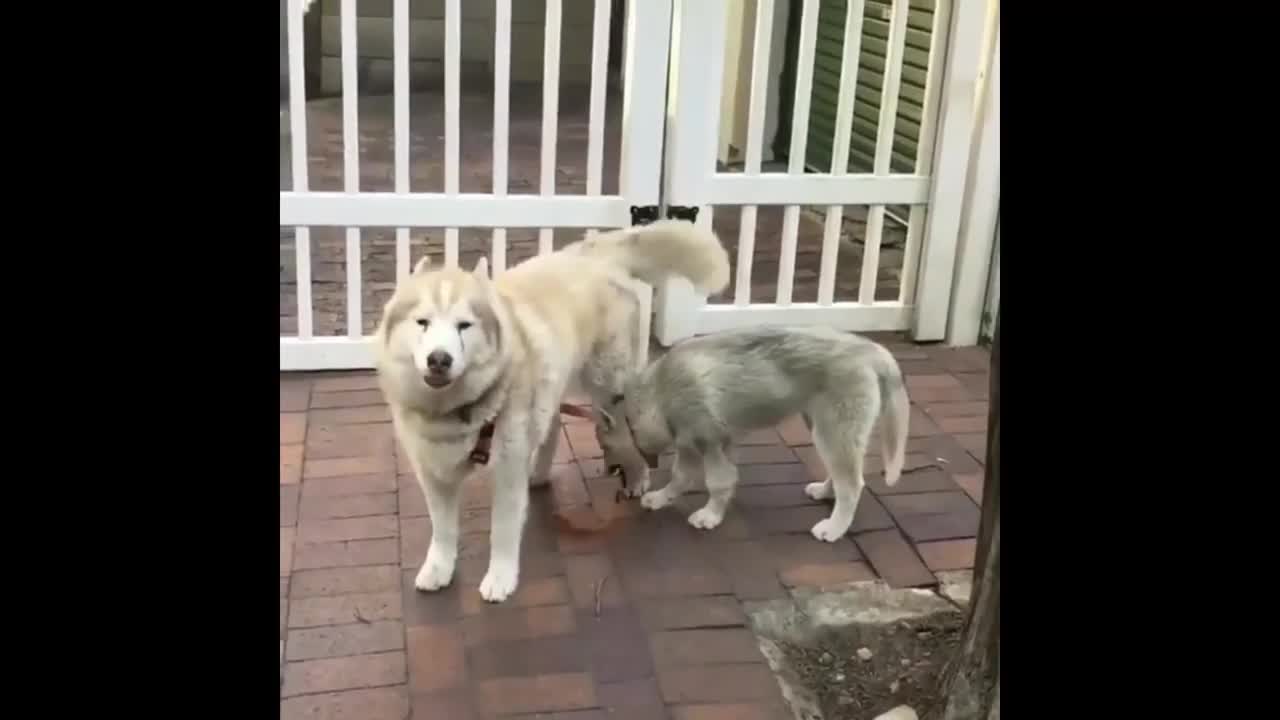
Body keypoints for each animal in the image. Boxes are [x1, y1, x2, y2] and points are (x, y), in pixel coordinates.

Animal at [373, 222, 727, 599]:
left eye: (464, 325)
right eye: (422, 322)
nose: (439, 359)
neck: (455, 413)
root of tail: (596, 253)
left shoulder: (507, 469)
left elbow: (503, 529)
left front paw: (500, 577)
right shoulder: (433, 473)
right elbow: (442, 530)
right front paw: (439, 568)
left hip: (608, 391)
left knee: (627, 430)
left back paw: (637, 477)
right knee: (553, 424)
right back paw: (541, 473)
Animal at [599, 324, 911, 538]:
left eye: (604, 447)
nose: (606, 472)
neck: (659, 393)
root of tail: (872, 350)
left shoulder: (711, 444)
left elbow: (718, 483)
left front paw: (710, 516)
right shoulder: (691, 443)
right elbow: (680, 478)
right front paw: (662, 498)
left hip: (835, 431)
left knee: (853, 485)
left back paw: (834, 528)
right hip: (823, 429)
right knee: (840, 476)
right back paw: (824, 493)